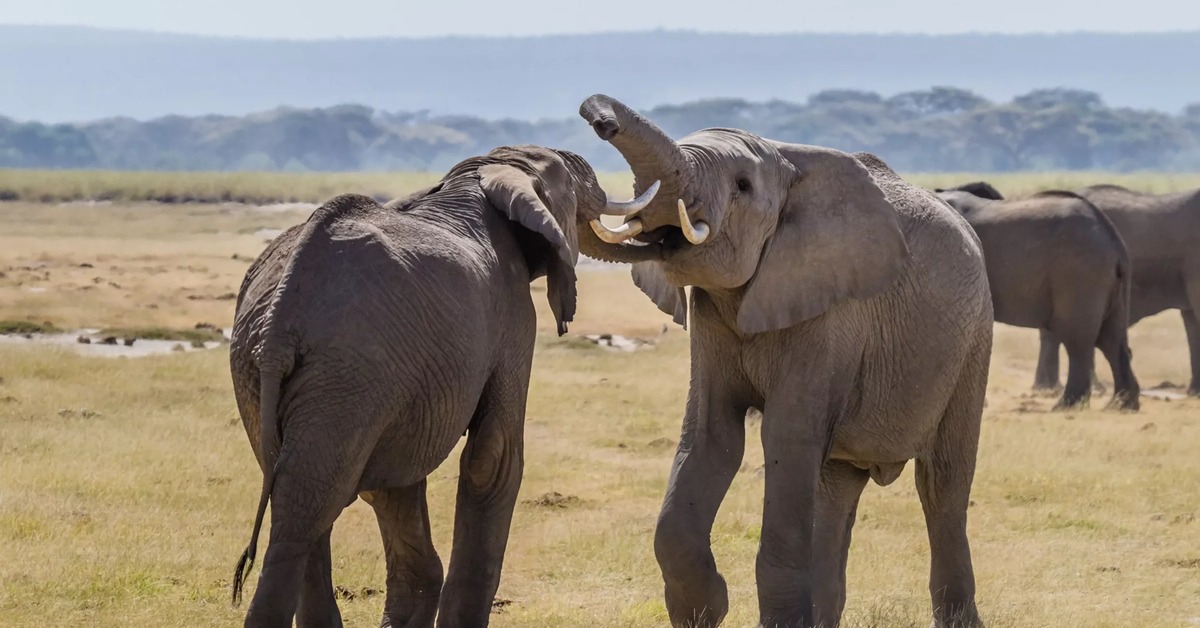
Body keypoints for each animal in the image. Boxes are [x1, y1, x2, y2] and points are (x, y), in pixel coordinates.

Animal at [226, 144, 659, 627]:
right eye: (569, 179)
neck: (477, 177)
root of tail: (283, 309)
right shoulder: (514, 317)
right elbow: (493, 456)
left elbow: (397, 481)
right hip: (348, 369)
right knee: (306, 508)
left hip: (263, 366)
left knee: (306, 494)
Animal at [576, 94, 993, 628]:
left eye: (742, 186)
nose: (597, 114)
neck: (784, 160)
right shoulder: (711, 318)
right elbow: (710, 437)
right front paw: (707, 609)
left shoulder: (831, 314)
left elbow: (785, 438)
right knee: (835, 488)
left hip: (972, 341)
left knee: (941, 483)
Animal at [935, 183, 1139, 410]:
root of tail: (1115, 243)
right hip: (1107, 281)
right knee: (1112, 340)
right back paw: (1122, 404)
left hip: (1079, 273)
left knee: (1078, 340)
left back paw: (1067, 405)